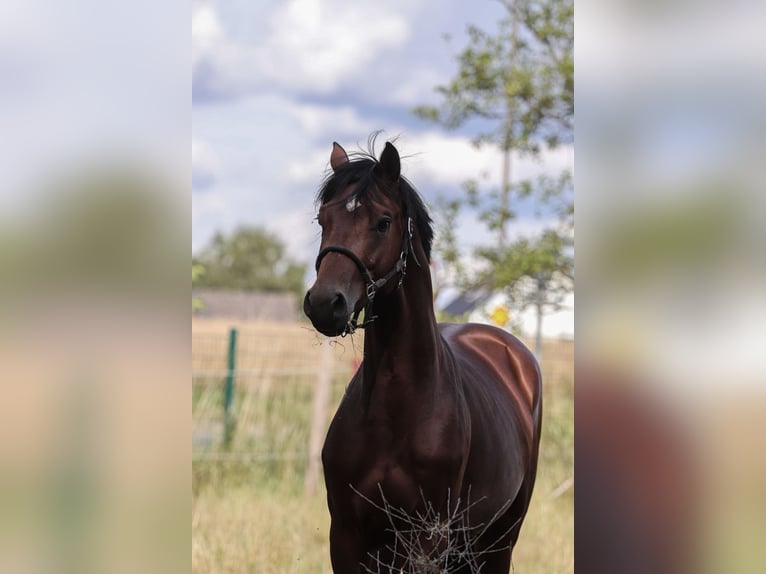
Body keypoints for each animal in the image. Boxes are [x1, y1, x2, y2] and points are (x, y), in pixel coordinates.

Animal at [303, 139, 542, 573]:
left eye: (383, 222)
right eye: (322, 219)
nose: (325, 304)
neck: (398, 409)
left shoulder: (428, 538)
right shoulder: (345, 535)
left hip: (500, 539)